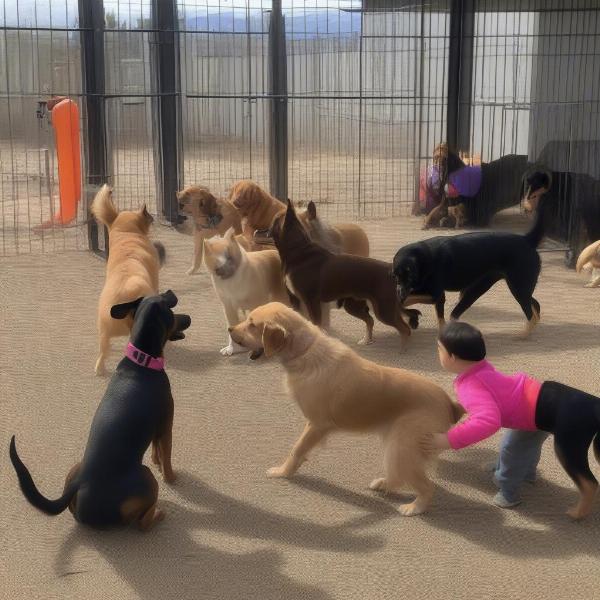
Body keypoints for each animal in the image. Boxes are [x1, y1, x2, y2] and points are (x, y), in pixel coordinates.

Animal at [10, 290, 191, 528]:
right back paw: (158, 514)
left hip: (75, 468)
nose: (189, 318)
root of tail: (77, 486)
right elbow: (167, 457)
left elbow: (156, 450)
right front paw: (172, 477)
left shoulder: (156, 427)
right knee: (142, 523)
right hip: (146, 478)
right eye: (172, 311)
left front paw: (157, 460)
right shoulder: (166, 424)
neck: (141, 361)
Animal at [227, 304, 462, 516]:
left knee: (426, 486)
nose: (229, 329)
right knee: (399, 477)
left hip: (402, 446)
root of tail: (449, 403)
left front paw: (283, 472)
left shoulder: (317, 424)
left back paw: (414, 507)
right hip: (395, 444)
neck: (305, 352)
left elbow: (297, 450)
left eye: (252, 325)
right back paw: (384, 484)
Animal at [268, 199, 418, 344]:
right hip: (354, 306)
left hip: (384, 310)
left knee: (405, 330)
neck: (299, 251)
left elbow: (317, 324)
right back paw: (366, 340)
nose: (265, 229)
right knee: (371, 320)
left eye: (274, 220)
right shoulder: (296, 301)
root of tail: (389, 269)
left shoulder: (312, 301)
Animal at [392, 197, 552, 338]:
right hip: (508, 287)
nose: (400, 292)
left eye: (410, 276)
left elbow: (414, 303)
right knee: (535, 305)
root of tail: (527, 240)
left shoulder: (437, 295)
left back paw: (523, 335)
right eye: (396, 276)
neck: (424, 258)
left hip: (517, 287)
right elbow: (412, 303)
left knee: (530, 313)